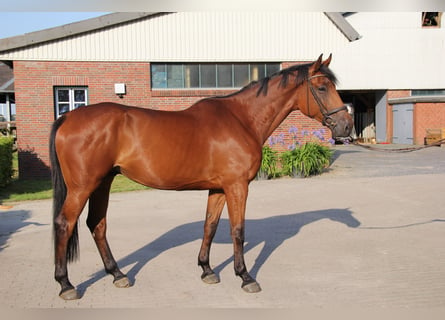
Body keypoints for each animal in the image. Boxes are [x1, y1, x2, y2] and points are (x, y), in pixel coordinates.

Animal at [50, 54, 352, 300]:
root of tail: (68, 117)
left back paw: (118, 275)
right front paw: (245, 277)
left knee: (97, 224)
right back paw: (66, 285)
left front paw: (207, 269)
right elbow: (238, 230)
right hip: (83, 186)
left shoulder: (218, 188)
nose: (346, 126)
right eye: (322, 87)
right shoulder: (237, 186)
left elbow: (210, 226)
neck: (242, 119)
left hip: (103, 182)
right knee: (65, 224)